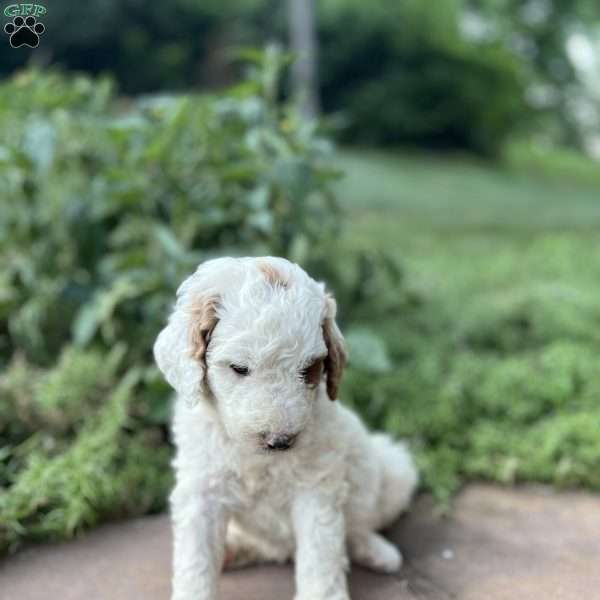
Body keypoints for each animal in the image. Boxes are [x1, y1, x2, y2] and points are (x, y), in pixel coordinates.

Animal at [155, 256, 418, 600]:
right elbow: (196, 561)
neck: (257, 460)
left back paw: (378, 552)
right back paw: (234, 551)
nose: (280, 441)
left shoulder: (315, 489)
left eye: (309, 369)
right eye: (239, 368)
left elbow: (321, 557)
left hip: (394, 470)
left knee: (357, 528)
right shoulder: (202, 490)